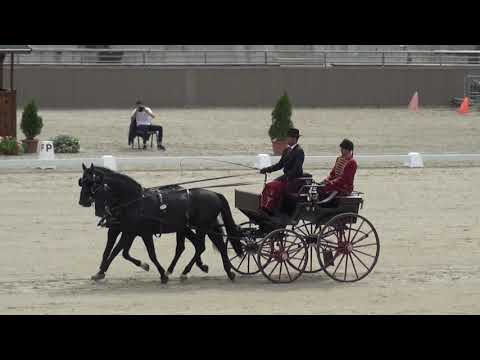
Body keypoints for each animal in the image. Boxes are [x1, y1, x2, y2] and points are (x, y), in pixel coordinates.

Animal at [80, 165, 244, 282]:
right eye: (81, 182)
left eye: (92, 183)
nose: (82, 202)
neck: (136, 202)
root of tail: (215, 194)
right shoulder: (129, 231)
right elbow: (117, 251)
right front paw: (101, 272)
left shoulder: (141, 232)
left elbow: (147, 253)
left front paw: (161, 274)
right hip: (204, 227)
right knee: (216, 245)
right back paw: (227, 271)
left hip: (202, 227)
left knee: (200, 246)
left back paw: (187, 271)